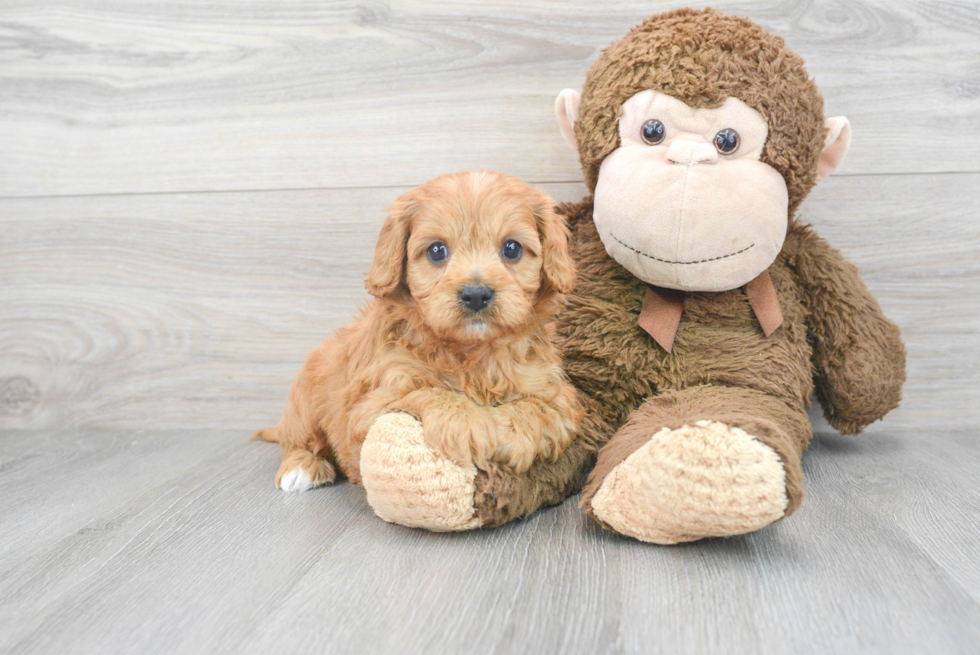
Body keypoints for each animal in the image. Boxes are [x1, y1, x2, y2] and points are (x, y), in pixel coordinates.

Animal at [256, 169, 584, 492]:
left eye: (512, 248)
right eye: (437, 251)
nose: (476, 294)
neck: (472, 354)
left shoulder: (556, 395)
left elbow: (540, 410)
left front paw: (512, 435)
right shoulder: (374, 399)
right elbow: (429, 391)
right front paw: (467, 425)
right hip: (303, 401)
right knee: (299, 441)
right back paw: (301, 468)